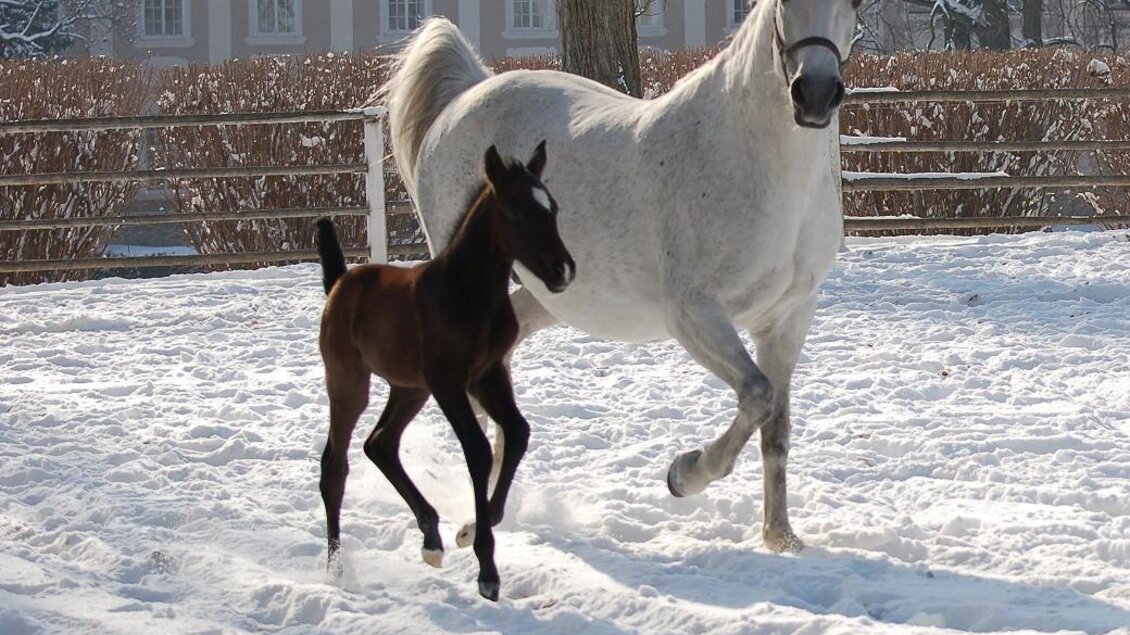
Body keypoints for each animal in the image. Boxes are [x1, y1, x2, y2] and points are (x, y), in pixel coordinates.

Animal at [315, 142, 575, 601]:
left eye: (553, 208)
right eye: (516, 212)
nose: (562, 271)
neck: (468, 292)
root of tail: (340, 283)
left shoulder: (487, 375)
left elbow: (517, 432)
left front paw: (471, 531)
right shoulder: (449, 382)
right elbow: (478, 449)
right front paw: (487, 569)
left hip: (408, 388)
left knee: (380, 444)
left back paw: (431, 540)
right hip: (349, 381)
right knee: (335, 466)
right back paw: (337, 570)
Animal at [383, 0, 859, 554]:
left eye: (854, 5)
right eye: (784, 5)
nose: (815, 94)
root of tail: (467, 93)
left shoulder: (788, 318)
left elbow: (775, 427)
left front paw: (781, 538)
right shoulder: (694, 314)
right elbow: (757, 397)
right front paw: (683, 474)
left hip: (546, 297)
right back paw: (472, 522)